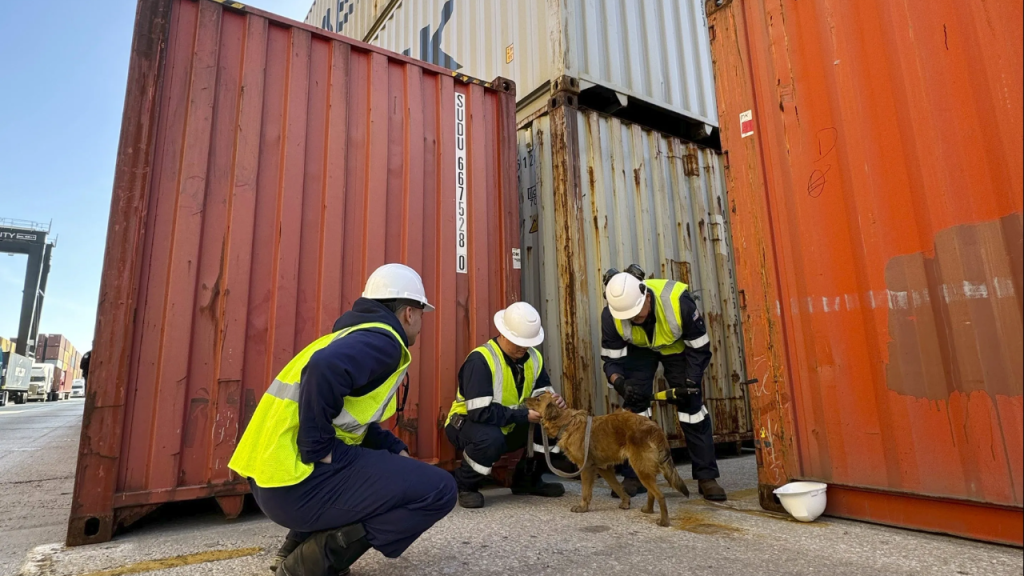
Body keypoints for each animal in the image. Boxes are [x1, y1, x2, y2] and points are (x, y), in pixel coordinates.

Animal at [528, 389, 688, 524]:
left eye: (538, 399)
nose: (524, 399)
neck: (567, 422)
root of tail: (655, 428)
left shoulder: (586, 468)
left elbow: (586, 491)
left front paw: (583, 507)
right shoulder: (604, 468)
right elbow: (617, 486)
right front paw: (625, 502)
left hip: (640, 468)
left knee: (660, 495)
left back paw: (664, 521)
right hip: (644, 469)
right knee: (651, 492)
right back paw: (648, 510)